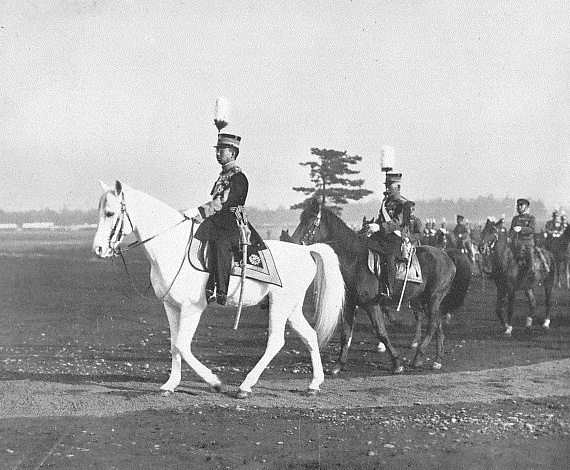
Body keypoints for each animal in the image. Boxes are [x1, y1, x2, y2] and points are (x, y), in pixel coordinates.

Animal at [91, 182, 344, 398]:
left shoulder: (192, 308)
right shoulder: (171, 306)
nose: (98, 249)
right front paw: (170, 385)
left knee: (275, 341)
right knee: (309, 335)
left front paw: (214, 382)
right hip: (291, 307)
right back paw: (313, 385)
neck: (173, 246)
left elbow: (182, 345)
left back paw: (245, 386)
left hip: (280, 305)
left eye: (110, 213)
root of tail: (306, 250)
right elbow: (174, 345)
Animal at [288, 200, 470, 372]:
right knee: (437, 324)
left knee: (432, 325)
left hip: (433, 298)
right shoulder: (349, 304)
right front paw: (338, 364)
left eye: (311, 220)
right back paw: (437, 360)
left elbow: (381, 332)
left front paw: (397, 363)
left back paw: (418, 357)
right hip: (425, 300)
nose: (293, 242)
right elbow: (345, 334)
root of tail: (446, 254)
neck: (355, 260)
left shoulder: (372, 304)